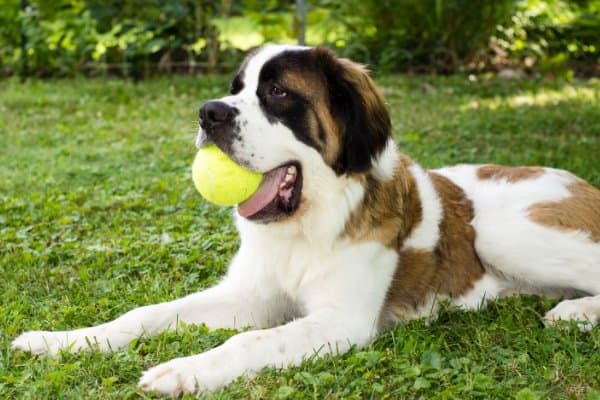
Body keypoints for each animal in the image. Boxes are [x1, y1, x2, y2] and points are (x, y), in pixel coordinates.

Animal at [10, 45, 600, 396]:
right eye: (235, 88)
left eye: (277, 93)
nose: (209, 112)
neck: (305, 225)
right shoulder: (249, 296)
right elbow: (146, 314)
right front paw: (60, 341)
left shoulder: (340, 321)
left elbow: (250, 343)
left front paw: (181, 371)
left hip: (503, 232)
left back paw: (573, 313)